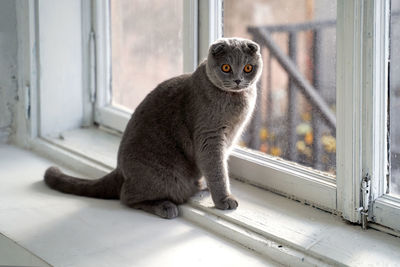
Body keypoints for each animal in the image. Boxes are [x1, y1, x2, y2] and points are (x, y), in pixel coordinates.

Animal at [44, 38, 262, 220]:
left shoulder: (228, 140)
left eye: (248, 68)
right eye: (226, 67)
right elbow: (217, 170)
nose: (238, 80)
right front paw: (224, 200)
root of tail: (119, 170)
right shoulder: (210, 136)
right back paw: (166, 207)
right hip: (167, 177)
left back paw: (198, 187)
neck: (236, 100)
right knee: (126, 196)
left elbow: (218, 167)